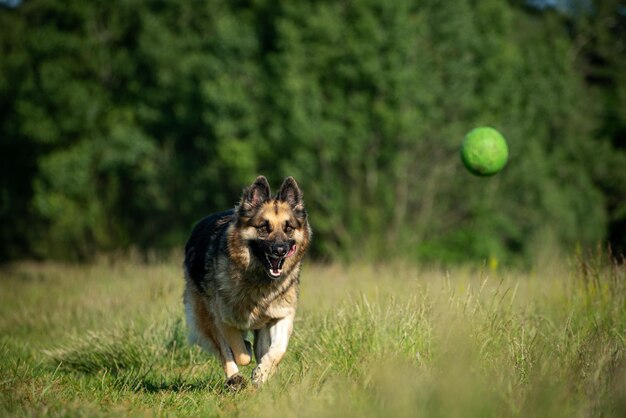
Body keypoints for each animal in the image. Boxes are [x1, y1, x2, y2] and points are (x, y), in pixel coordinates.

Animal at [183, 176, 310, 388]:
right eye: (264, 228)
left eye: (288, 228)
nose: (280, 250)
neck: (259, 281)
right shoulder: (224, 320)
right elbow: (240, 354)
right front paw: (247, 357)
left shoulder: (282, 315)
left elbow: (277, 350)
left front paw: (261, 373)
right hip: (206, 317)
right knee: (225, 351)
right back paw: (235, 378)